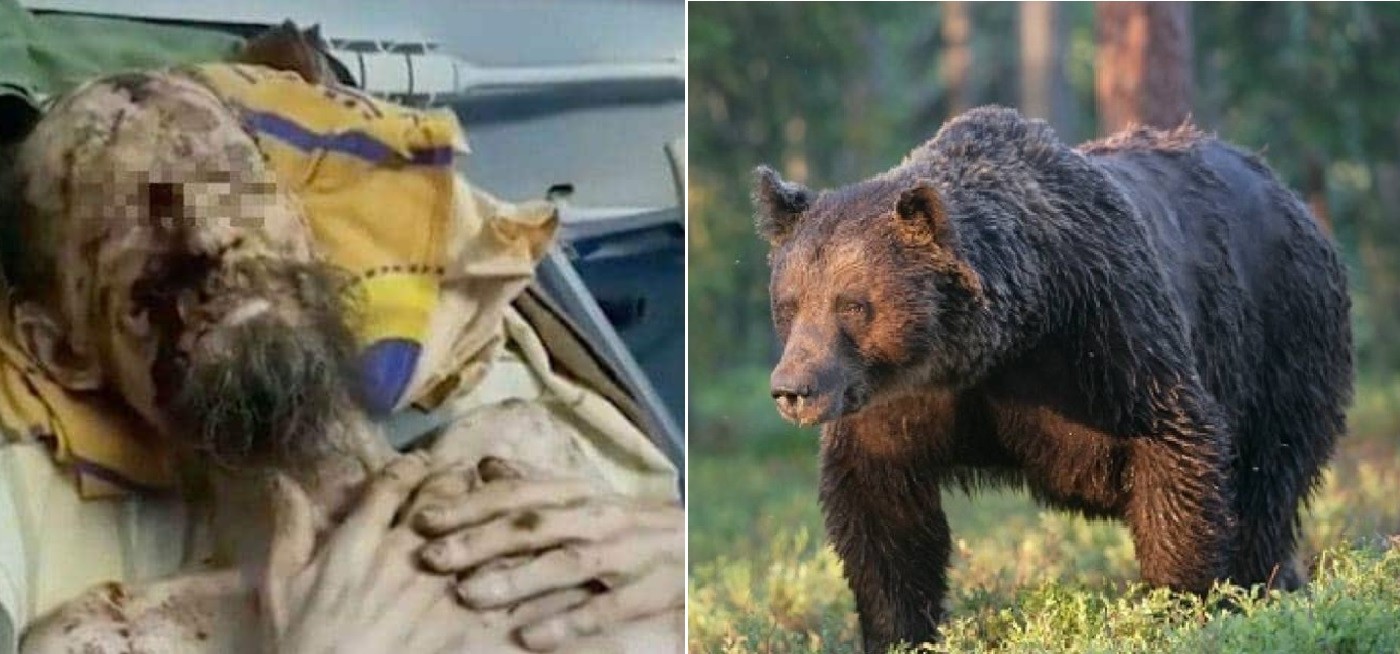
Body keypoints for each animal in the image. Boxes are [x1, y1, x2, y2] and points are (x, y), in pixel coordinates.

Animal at [753, 106, 1353, 653]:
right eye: (789, 302)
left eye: (852, 304)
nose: (793, 389)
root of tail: (1287, 192)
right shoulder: (902, 399)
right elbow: (879, 508)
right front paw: (899, 631)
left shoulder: (1106, 333)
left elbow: (1175, 448)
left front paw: (1178, 602)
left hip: (1283, 338)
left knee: (1269, 478)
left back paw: (1266, 584)